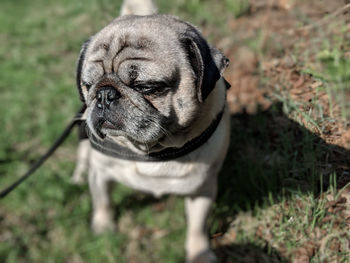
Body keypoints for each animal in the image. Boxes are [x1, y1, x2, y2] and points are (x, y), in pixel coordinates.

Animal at [73, 2, 231, 263]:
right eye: (88, 85)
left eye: (146, 87)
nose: (104, 94)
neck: (151, 150)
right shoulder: (101, 174)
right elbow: (103, 201)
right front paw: (103, 226)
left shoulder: (203, 189)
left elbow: (197, 227)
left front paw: (200, 253)